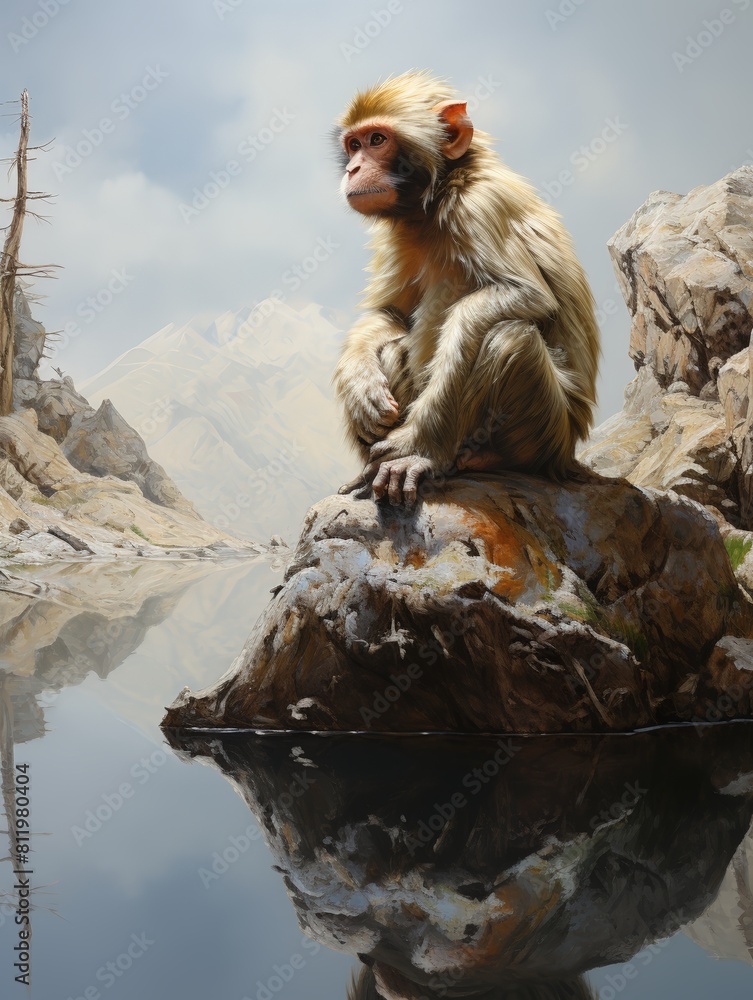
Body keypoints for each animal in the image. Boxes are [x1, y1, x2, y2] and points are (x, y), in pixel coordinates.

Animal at [332, 71, 600, 505]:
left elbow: (527, 297)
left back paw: (479, 458)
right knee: (392, 345)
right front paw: (360, 383)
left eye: (377, 140)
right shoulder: (398, 234)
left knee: (509, 338)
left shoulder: (479, 206)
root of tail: (568, 455)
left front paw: (419, 447)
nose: (354, 169)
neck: (443, 190)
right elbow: (390, 313)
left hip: (545, 436)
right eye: (354, 144)